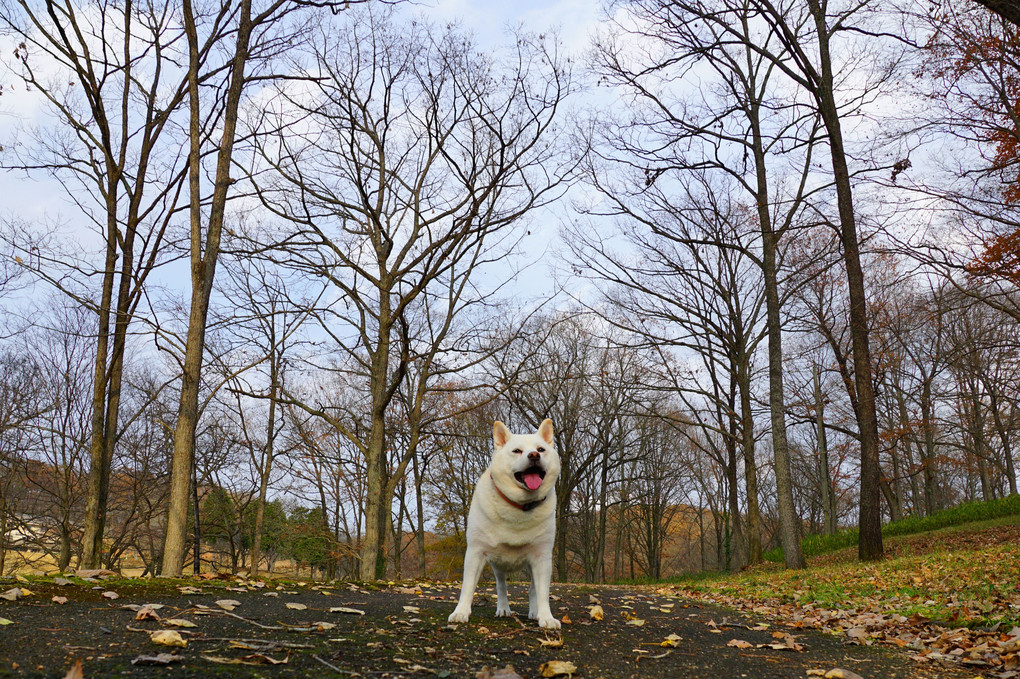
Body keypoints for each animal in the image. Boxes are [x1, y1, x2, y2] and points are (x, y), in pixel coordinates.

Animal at [450, 418, 563, 628]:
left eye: (541, 449)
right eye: (517, 451)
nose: (534, 455)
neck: (519, 506)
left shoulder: (542, 558)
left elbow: (542, 592)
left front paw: (546, 617)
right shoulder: (475, 552)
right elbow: (467, 587)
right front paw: (460, 612)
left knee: (533, 589)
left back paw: (534, 611)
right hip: (498, 564)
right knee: (501, 585)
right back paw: (503, 608)